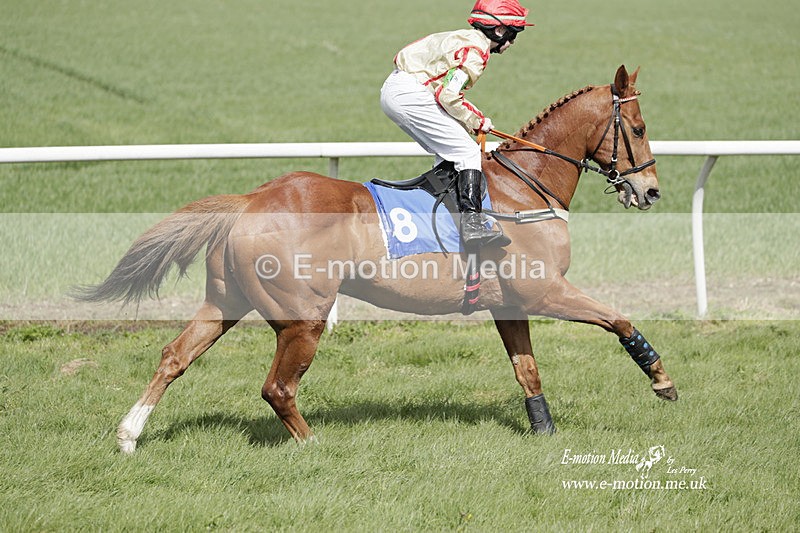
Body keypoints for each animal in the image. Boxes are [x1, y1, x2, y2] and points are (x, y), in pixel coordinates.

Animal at [78, 65, 677, 453]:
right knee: (277, 388)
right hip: (303, 316)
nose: (649, 191)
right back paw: (313, 444)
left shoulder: (508, 304)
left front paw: (544, 431)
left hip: (226, 301)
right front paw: (661, 380)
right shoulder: (544, 290)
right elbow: (619, 319)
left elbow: (526, 369)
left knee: (174, 356)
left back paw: (129, 435)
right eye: (640, 128)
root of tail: (252, 199)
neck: (523, 189)